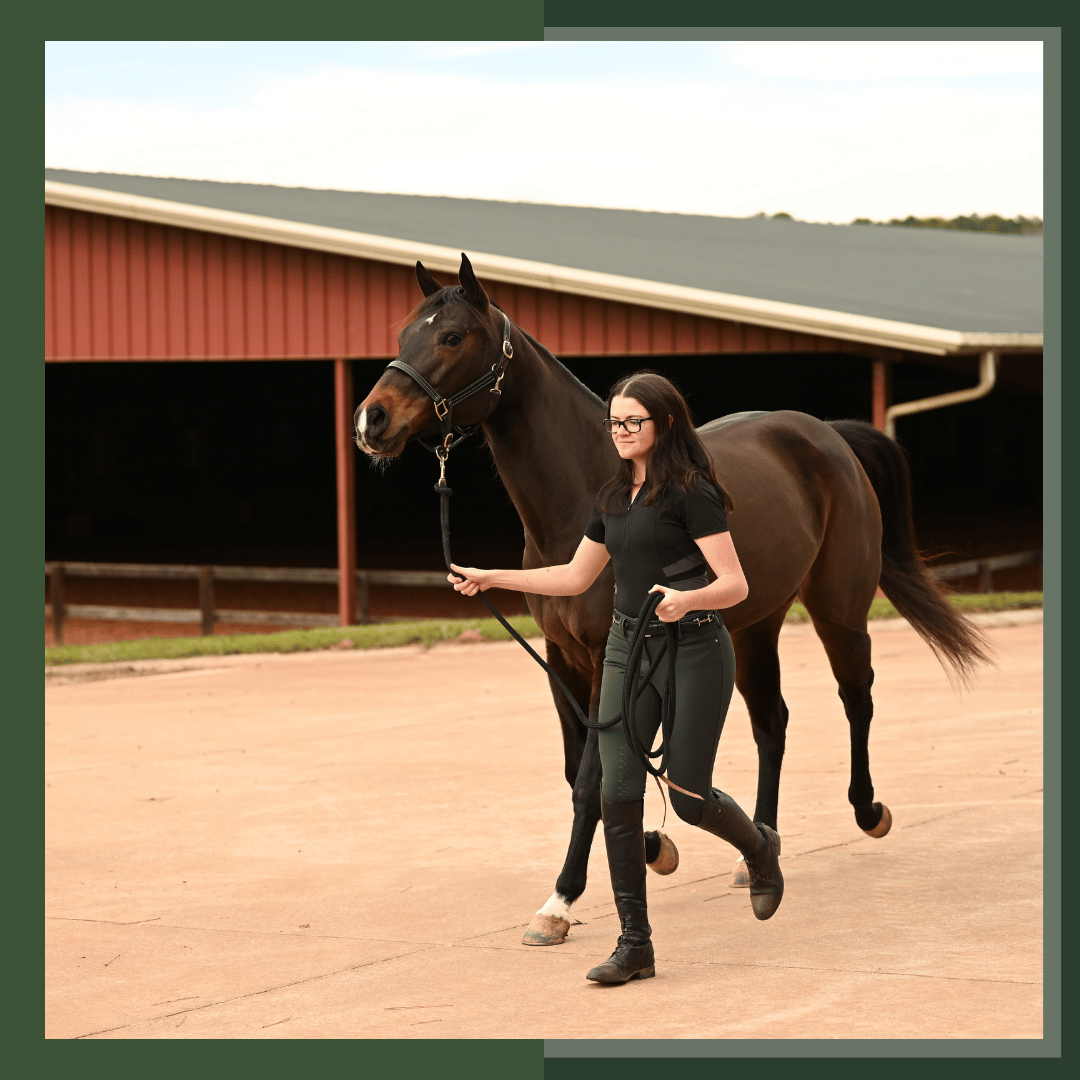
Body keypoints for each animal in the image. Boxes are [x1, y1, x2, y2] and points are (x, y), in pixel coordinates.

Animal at [354, 252, 989, 946]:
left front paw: (561, 900)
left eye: (451, 337)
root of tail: (828, 436)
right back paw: (759, 848)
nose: (372, 421)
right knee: (772, 722)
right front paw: (656, 848)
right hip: (756, 624)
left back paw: (867, 809)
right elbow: (584, 768)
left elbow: (591, 781)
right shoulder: (563, 658)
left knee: (857, 696)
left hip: (838, 607)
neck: (584, 492)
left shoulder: (607, 655)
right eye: (402, 335)